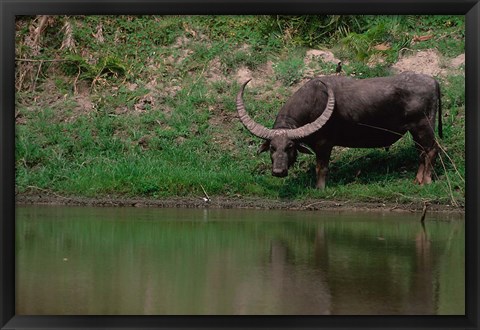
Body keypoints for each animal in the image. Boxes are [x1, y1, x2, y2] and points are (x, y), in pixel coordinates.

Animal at [236, 73, 442, 189]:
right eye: (272, 147)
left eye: (290, 147)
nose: (279, 171)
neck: (313, 104)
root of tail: (433, 81)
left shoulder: (324, 145)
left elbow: (321, 167)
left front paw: (320, 188)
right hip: (415, 132)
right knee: (421, 153)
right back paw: (417, 180)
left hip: (423, 126)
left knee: (432, 150)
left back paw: (427, 181)